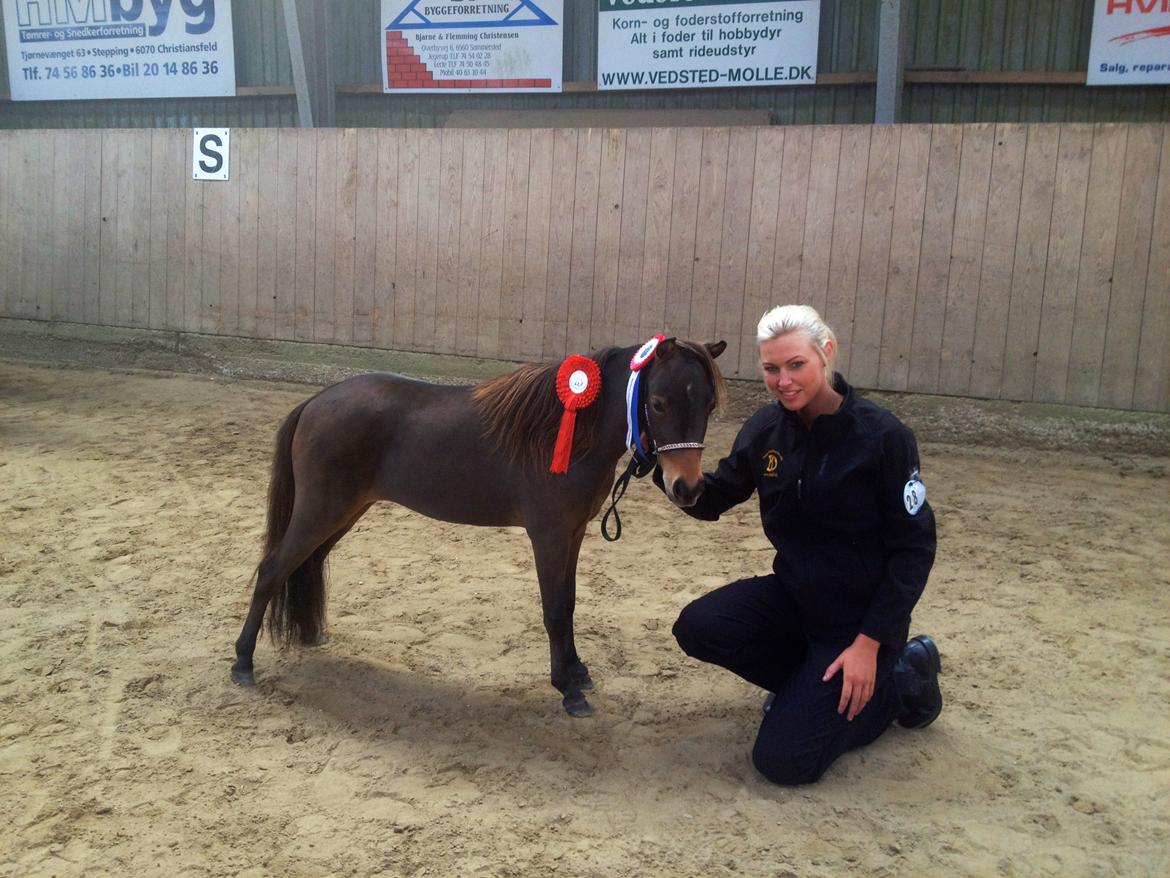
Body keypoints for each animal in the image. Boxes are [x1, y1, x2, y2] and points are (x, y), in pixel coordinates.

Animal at [230, 339, 720, 716]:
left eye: (709, 404)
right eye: (657, 403)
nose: (687, 487)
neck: (565, 432)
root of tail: (316, 401)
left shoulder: (574, 534)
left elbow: (569, 604)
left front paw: (578, 671)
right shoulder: (549, 537)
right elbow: (554, 610)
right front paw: (567, 688)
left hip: (342, 514)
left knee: (306, 565)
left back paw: (308, 633)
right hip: (320, 511)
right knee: (272, 570)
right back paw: (242, 663)